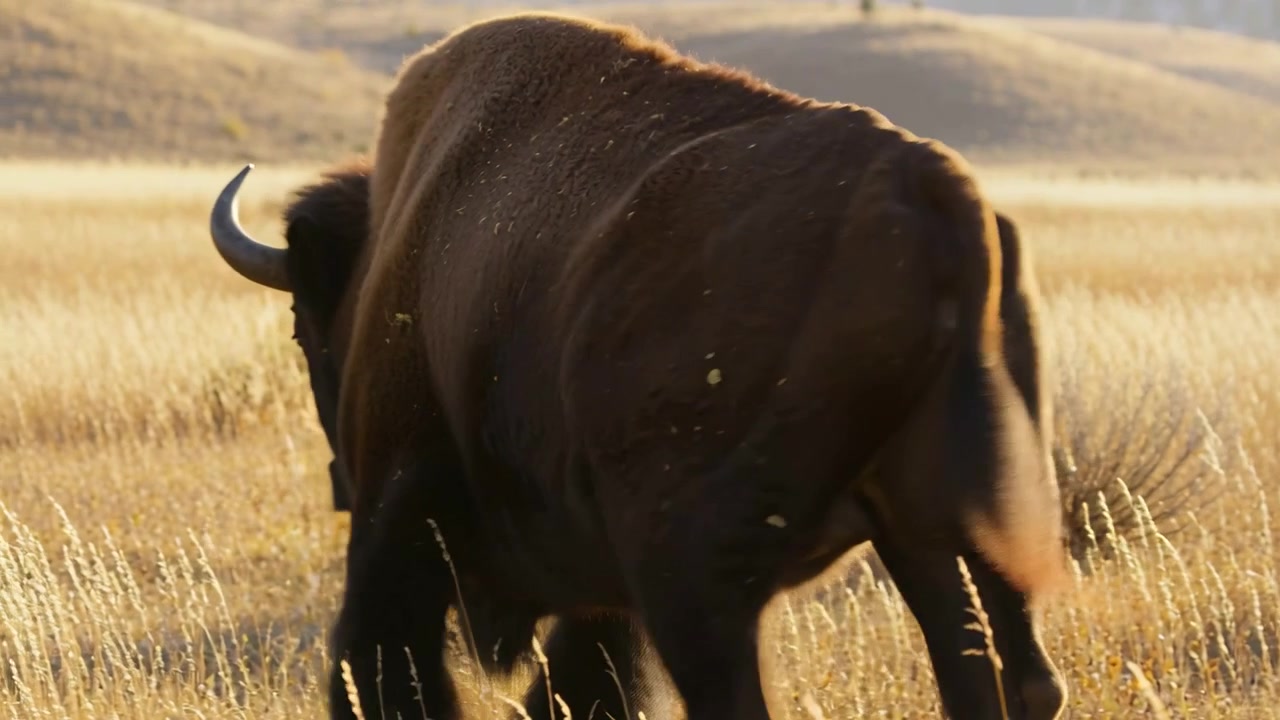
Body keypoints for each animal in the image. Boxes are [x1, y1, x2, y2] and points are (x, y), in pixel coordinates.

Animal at [207, 12, 1069, 720]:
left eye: (304, 327)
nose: (336, 483)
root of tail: (936, 195)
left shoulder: (400, 514)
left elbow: (385, 666)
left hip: (699, 584)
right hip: (947, 535)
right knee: (1007, 675)